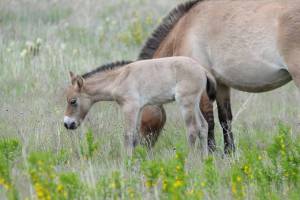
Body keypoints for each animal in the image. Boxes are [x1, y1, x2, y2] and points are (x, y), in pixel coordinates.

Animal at [63, 56, 216, 155]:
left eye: (73, 101)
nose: (67, 124)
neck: (120, 78)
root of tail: (202, 69)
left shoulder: (130, 107)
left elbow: (128, 135)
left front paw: (127, 162)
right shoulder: (139, 109)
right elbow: (135, 137)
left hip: (186, 103)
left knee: (192, 130)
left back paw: (191, 161)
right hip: (194, 104)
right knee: (203, 127)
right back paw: (204, 160)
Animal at [134, 0, 298, 153]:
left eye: (139, 113)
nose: (140, 150)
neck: (185, 30)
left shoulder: (201, 90)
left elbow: (208, 122)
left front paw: (211, 153)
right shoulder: (221, 85)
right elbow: (225, 119)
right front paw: (229, 153)